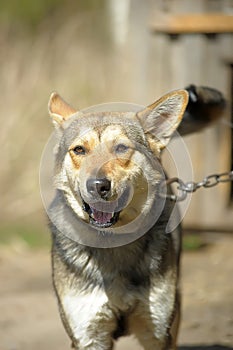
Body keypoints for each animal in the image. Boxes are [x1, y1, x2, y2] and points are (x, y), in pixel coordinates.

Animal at [47, 85, 226, 350]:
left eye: (121, 148)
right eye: (79, 150)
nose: (97, 186)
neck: (114, 242)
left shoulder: (157, 333)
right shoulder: (90, 335)